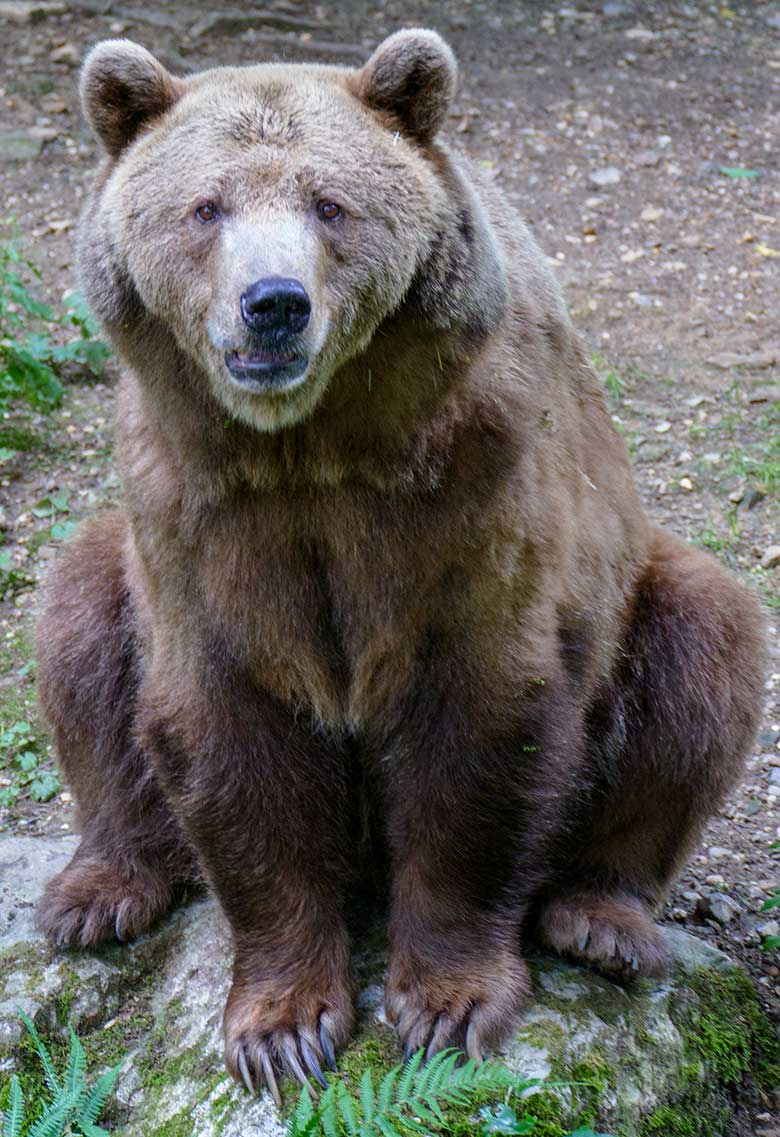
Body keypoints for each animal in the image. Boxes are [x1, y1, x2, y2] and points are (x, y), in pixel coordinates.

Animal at [35, 26, 764, 1105]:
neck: (311, 444)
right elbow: (228, 731)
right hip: (119, 557)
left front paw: (446, 1004)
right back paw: (98, 890)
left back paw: (605, 920)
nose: (274, 304)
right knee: (78, 625)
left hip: (642, 588)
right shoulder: (197, 508)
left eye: (329, 204)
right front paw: (282, 1027)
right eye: (206, 207)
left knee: (703, 657)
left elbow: (482, 725)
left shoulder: (469, 493)